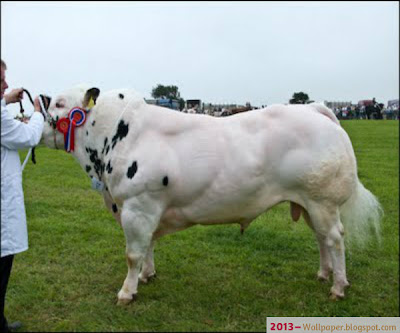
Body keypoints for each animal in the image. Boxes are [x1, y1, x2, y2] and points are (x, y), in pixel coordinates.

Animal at [41, 84, 382, 302]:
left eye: (59, 103)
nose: (38, 107)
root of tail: (314, 109)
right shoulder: (146, 209)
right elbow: (148, 246)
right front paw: (147, 276)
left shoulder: (138, 206)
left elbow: (133, 252)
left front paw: (127, 292)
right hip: (310, 204)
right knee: (322, 238)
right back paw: (324, 274)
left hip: (323, 201)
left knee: (335, 239)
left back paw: (338, 286)